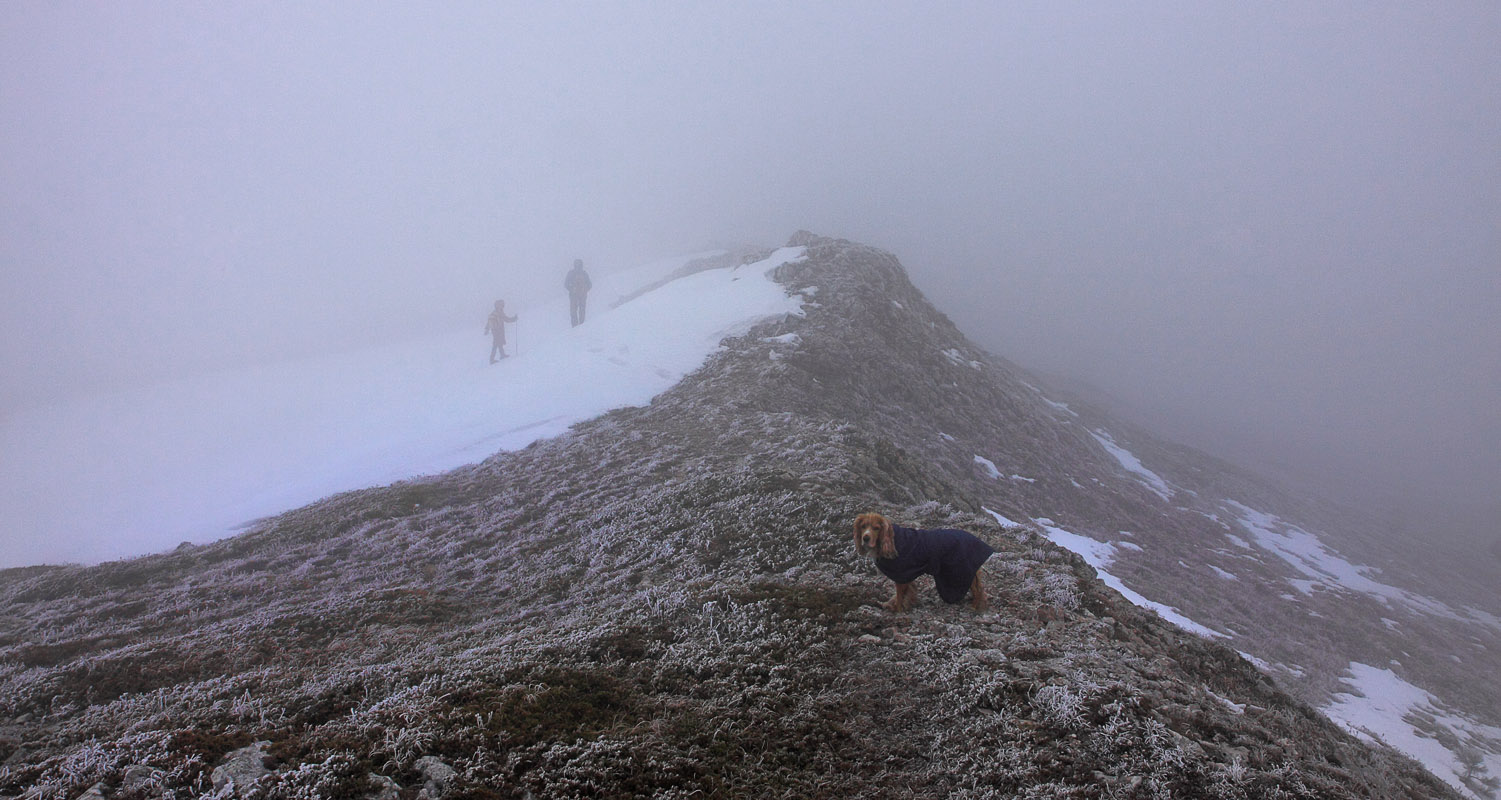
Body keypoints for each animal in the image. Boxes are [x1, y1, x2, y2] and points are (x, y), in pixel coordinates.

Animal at [858, 510, 996, 612]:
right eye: (863, 526)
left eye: (876, 528)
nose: (865, 538)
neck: (893, 540)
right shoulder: (906, 576)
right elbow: (907, 592)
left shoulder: (901, 575)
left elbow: (900, 595)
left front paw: (897, 610)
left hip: (964, 570)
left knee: (978, 590)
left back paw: (975, 607)